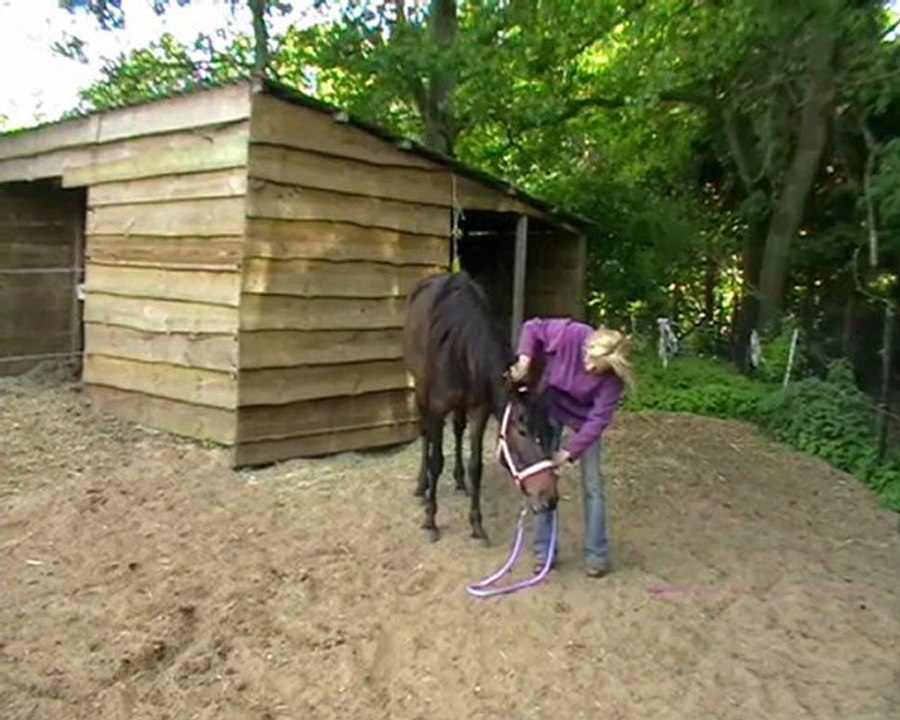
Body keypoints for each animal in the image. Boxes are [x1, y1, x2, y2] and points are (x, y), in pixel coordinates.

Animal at [402, 271, 558, 544]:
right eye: (523, 432)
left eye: (549, 433)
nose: (550, 498)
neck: (459, 347)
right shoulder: (437, 408)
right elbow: (435, 461)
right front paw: (430, 521)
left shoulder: (479, 410)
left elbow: (476, 466)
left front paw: (476, 524)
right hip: (421, 393)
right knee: (426, 436)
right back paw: (422, 486)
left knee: (457, 430)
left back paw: (460, 481)